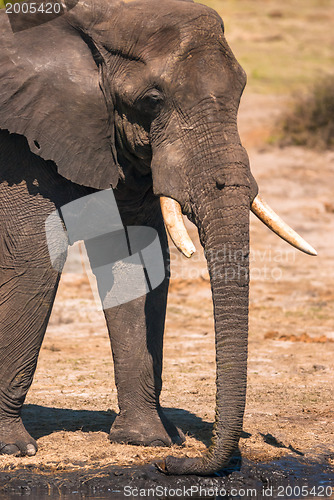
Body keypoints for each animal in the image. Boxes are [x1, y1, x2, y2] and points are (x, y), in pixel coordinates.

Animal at [0, 0, 316, 474]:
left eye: (242, 91)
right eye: (151, 100)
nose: (175, 463)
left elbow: (136, 256)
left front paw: (146, 440)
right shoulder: (23, 139)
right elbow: (33, 258)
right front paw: (14, 448)